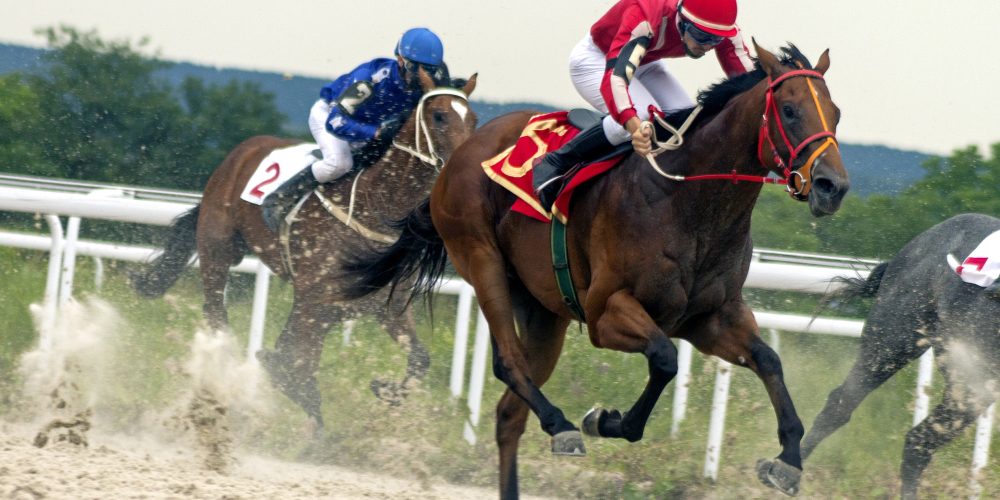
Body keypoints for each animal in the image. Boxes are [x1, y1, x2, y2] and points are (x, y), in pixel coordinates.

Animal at [131, 68, 478, 431]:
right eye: (439, 116)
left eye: (475, 120)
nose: (462, 167)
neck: (373, 208)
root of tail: (241, 152)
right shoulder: (314, 303)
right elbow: (292, 368)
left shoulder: (384, 308)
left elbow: (419, 359)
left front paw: (384, 390)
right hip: (217, 248)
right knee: (215, 310)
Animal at [342, 41, 848, 498]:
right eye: (789, 110)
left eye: (837, 113)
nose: (832, 186)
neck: (688, 202)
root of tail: (464, 150)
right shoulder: (607, 312)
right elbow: (665, 358)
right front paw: (605, 420)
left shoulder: (710, 319)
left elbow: (769, 359)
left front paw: (788, 461)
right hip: (481, 259)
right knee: (508, 363)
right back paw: (561, 423)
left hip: (545, 312)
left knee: (509, 414)